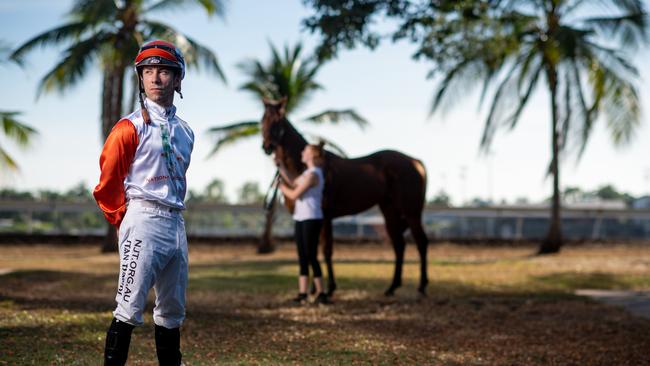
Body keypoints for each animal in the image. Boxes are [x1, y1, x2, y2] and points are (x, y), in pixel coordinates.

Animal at [260, 98, 428, 296]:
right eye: (262, 120)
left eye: (278, 121)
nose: (267, 147)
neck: (302, 169)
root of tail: (415, 162)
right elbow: (312, 251)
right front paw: (313, 289)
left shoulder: (324, 217)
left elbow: (325, 250)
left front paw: (329, 288)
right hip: (389, 210)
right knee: (399, 244)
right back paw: (391, 287)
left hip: (411, 212)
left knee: (421, 242)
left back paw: (421, 287)